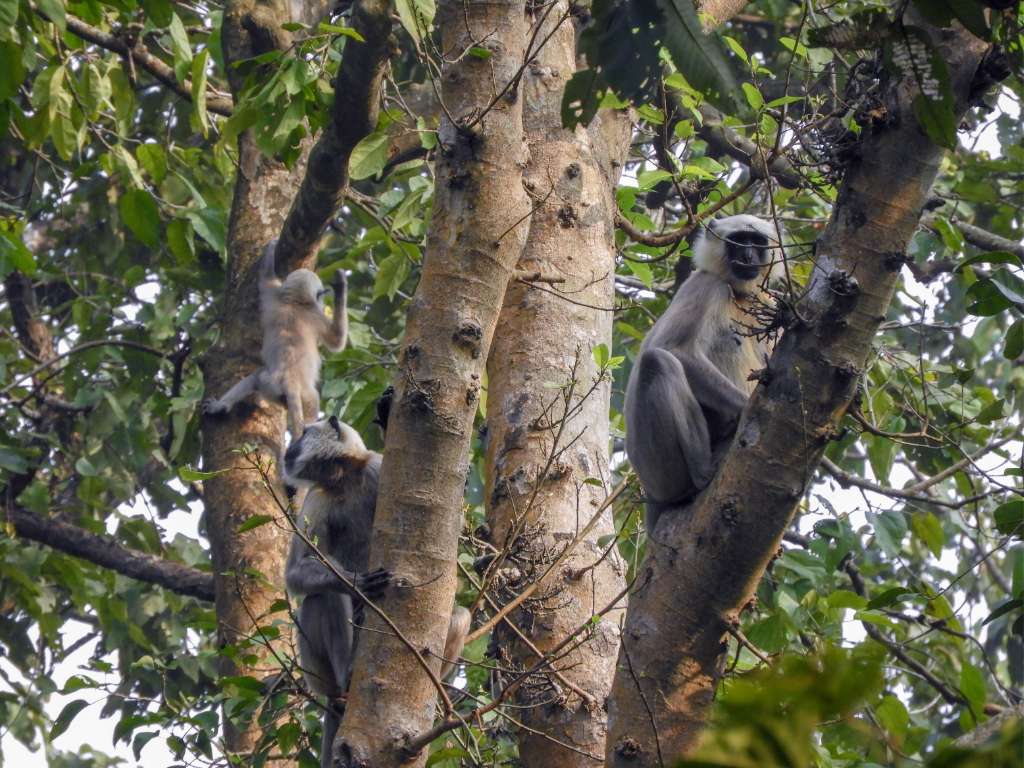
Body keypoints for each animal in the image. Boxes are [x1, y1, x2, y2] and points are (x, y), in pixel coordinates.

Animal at [201, 240, 350, 438]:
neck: (294, 302)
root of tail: (289, 379)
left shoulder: (273, 295)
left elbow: (265, 277)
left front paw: (270, 249)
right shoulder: (314, 314)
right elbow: (337, 341)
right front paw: (341, 286)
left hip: (269, 384)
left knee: (255, 378)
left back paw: (220, 407)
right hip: (303, 395)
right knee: (312, 400)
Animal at [280, 421, 471, 768]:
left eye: (303, 433)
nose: (289, 449)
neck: (343, 475)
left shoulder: (376, 467)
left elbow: (456, 528)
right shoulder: (319, 494)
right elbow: (297, 571)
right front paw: (356, 584)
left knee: (461, 615)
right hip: (316, 672)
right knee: (323, 597)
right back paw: (346, 677)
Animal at [622, 214, 782, 532]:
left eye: (757, 243)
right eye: (738, 241)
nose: (747, 257)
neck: (740, 295)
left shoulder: (769, 303)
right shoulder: (707, 285)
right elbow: (672, 348)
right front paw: (745, 409)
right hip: (659, 471)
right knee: (658, 361)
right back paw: (701, 475)